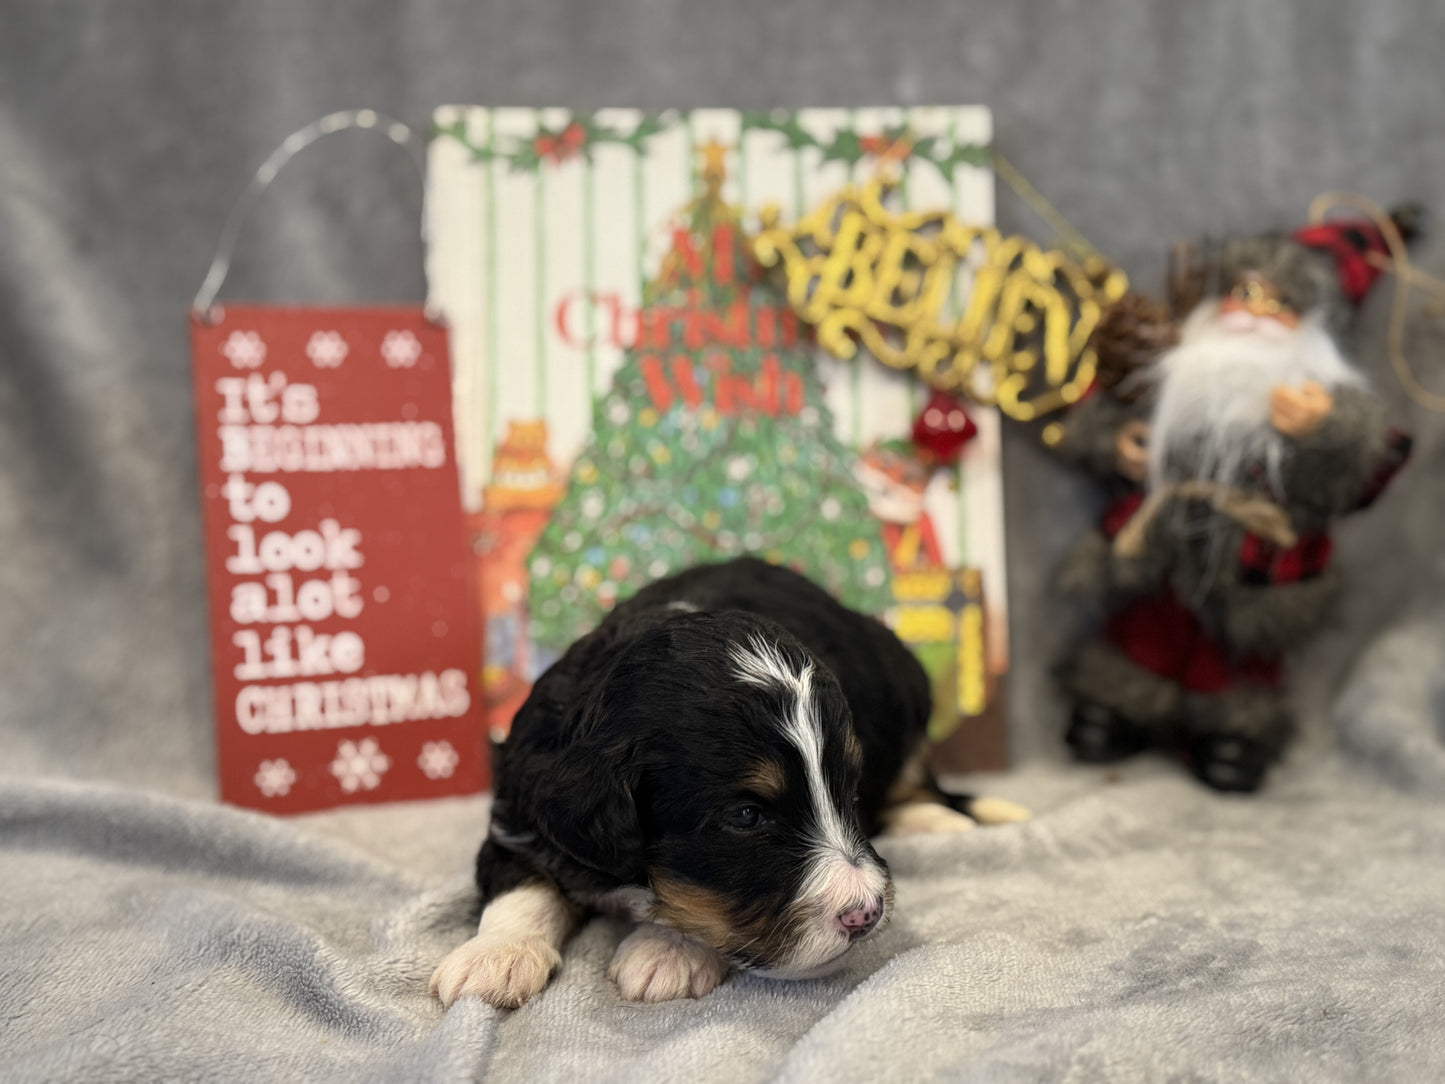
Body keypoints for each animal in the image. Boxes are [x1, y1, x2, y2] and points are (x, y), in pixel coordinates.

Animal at [430, 560, 1028, 1011]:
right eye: (745, 817)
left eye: (850, 791)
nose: (866, 914)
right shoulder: (520, 811)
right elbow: (520, 885)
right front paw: (495, 957)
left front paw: (668, 951)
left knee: (918, 782)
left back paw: (938, 819)